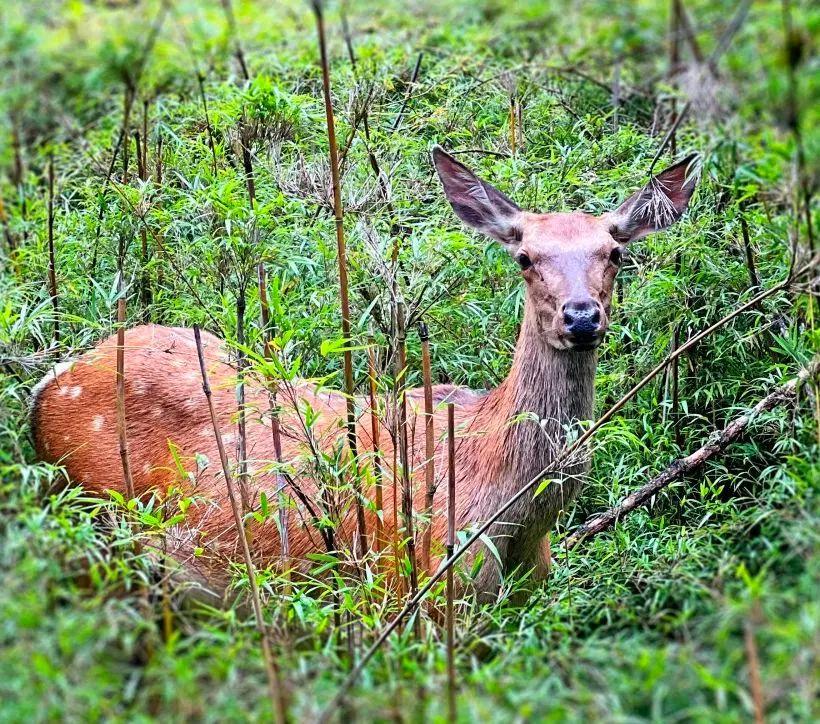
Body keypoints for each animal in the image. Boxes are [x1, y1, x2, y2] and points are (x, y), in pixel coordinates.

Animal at [30, 147, 700, 600]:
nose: (581, 315)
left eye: (615, 252)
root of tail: (51, 383)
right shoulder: (426, 587)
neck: (516, 521)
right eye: (525, 257)